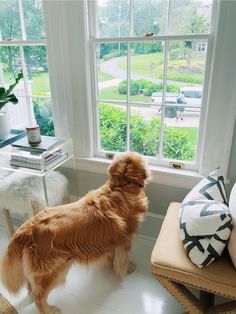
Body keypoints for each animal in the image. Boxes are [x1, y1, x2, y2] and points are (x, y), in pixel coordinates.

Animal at [0, 151, 149, 312]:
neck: (121, 186)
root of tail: (27, 229)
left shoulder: (111, 239)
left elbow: (111, 255)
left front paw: (111, 264)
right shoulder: (126, 240)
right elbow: (122, 260)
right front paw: (127, 269)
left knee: (31, 287)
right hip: (55, 271)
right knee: (39, 296)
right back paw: (50, 310)